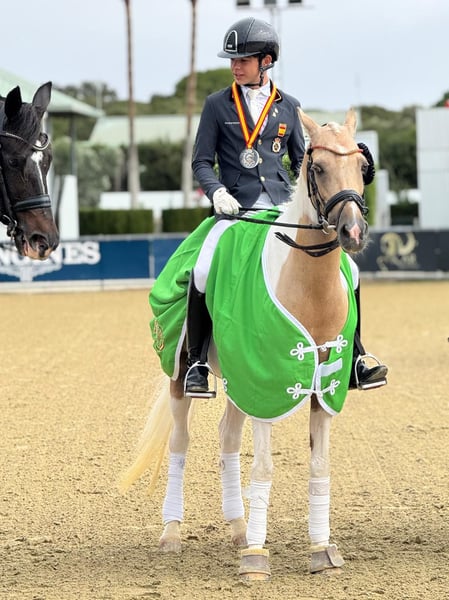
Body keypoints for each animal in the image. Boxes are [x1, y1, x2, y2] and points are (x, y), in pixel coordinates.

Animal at [120, 108, 372, 580]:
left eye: (362, 166)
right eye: (318, 167)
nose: (353, 232)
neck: (308, 286)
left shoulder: (320, 386)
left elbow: (319, 463)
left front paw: (321, 549)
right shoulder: (270, 381)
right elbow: (265, 466)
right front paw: (256, 556)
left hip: (241, 379)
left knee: (227, 441)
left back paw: (238, 527)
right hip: (183, 375)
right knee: (181, 444)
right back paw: (172, 534)